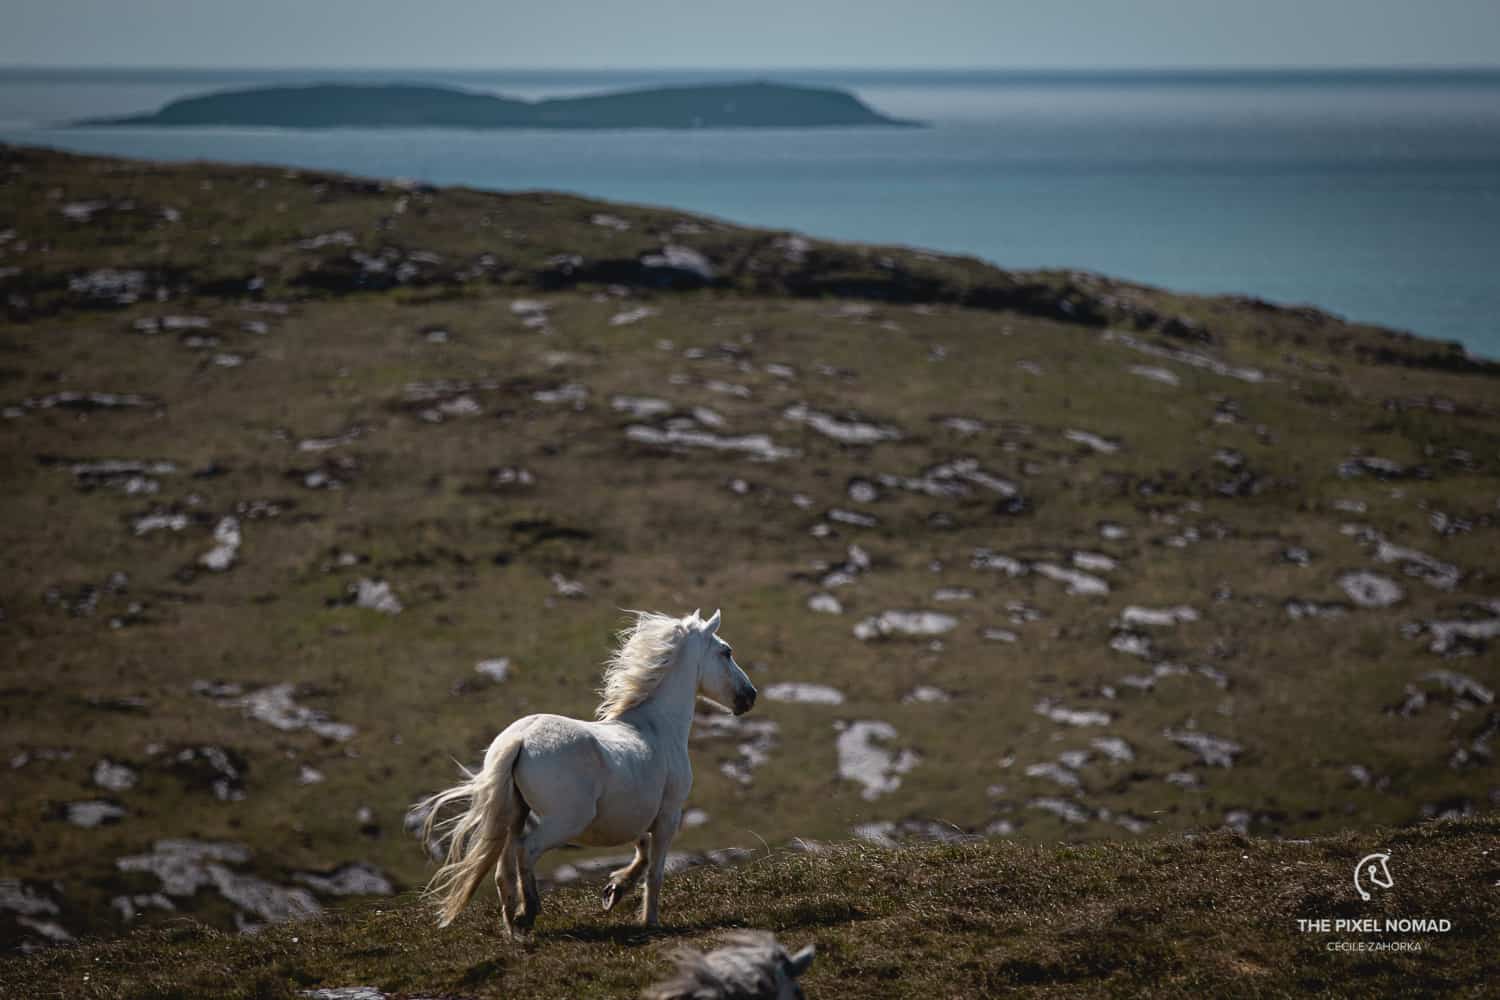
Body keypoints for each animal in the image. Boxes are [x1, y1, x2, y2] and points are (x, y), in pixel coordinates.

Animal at [414, 611, 756, 941]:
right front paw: (649, 921)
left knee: (503, 870)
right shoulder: (668, 816)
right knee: (527, 850)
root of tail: (519, 739)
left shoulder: (634, 818)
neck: (657, 725)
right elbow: (655, 872)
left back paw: (513, 930)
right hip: (566, 820)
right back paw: (528, 913)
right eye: (726, 652)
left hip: (514, 813)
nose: (749, 696)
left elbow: (642, 853)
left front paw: (614, 890)